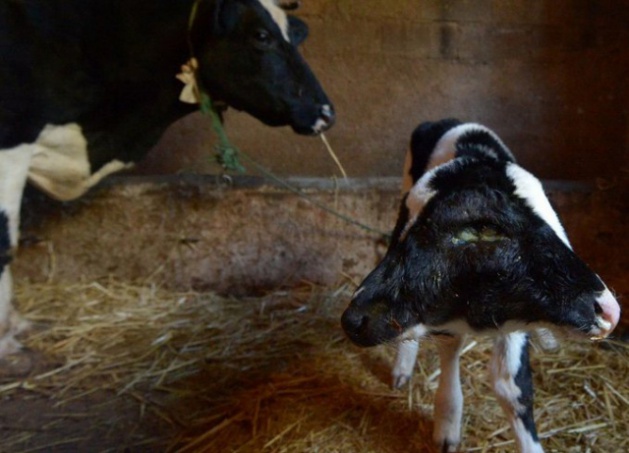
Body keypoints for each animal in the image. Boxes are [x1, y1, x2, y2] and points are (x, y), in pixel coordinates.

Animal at [0, 0, 336, 354]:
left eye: (295, 34)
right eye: (261, 36)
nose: (325, 113)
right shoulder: (11, 142)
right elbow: (5, 243)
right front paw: (9, 343)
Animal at [338, 119, 620, 452]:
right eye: (483, 229)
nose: (608, 309)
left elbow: (512, 387)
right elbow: (450, 352)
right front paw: (447, 425)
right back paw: (402, 368)